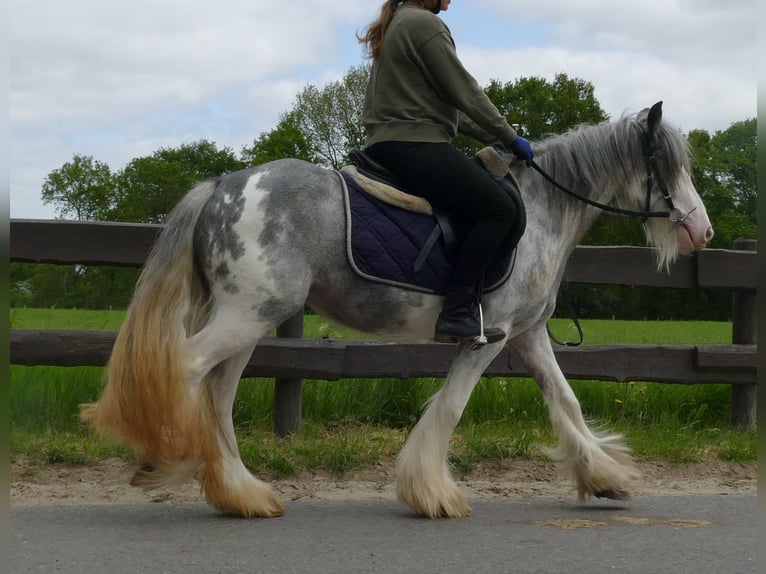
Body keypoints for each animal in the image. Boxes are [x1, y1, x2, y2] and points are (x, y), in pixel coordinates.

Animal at [81, 102, 716, 520]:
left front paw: (605, 477)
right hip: (247, 316)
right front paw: (432, 492)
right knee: (184, 369)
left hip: (250, 320)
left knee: (217, 392)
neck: (541, 210)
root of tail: (221, 186)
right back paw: (165, 459)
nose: (702, 231)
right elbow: (451, 407)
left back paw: (242, 493)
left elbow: (567, 400)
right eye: (668, 165)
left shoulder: (528, 335)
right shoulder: (487, 337)